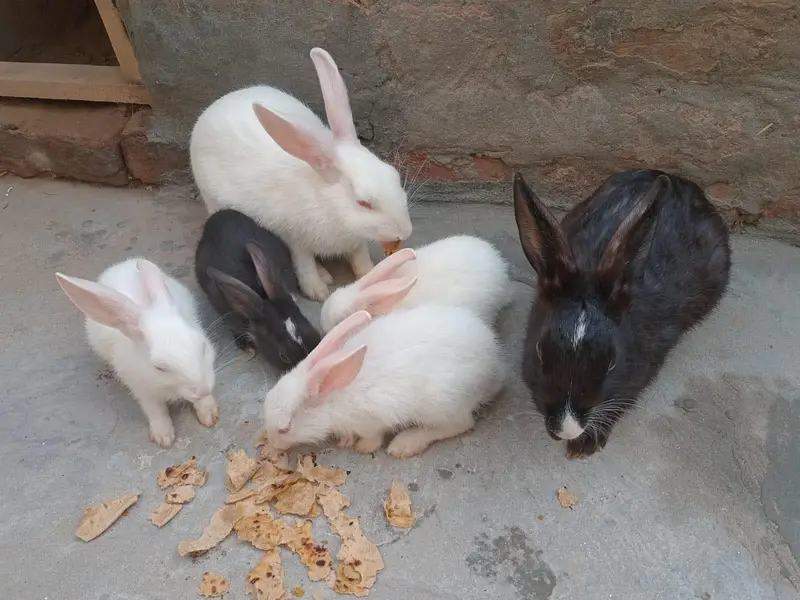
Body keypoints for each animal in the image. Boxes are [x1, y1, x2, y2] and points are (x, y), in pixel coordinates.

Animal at [56, 258, 219, 448]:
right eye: (159, 368)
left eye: (203, 347)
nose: (202, 389)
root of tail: (119, 264)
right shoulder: (141, 388)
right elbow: (154, 410)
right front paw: (163, 438)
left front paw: (209, 415)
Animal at [190, 46, 413, 303]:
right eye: (363, 203)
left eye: (395, 175)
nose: (406, 230)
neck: (329, 206)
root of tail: (215, 106)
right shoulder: (295, 240)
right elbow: (304, 264)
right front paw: (318, 291)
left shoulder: (355, 242)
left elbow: (360, 256)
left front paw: (369, 272)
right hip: (212, 199)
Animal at [263, 301, 507, 459]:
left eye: (285, 428)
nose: (273, 442)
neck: (332, 397)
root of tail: (494, 368)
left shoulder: (371, 419)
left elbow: (374, 436)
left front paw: (362, 447)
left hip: (441, 404)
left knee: (460, 424)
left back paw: (404, 444)